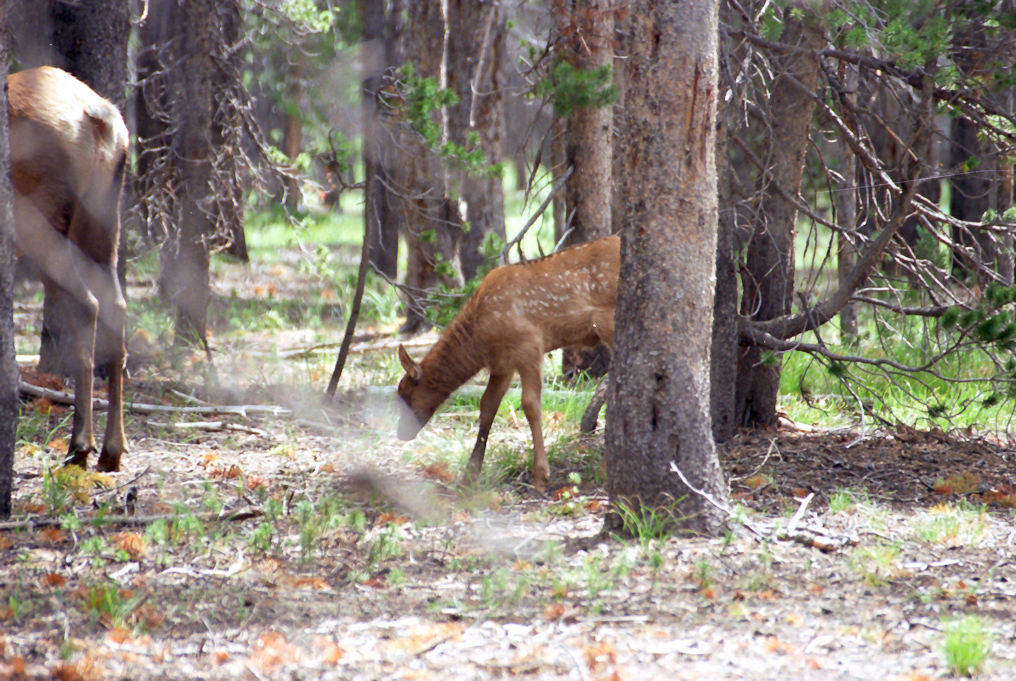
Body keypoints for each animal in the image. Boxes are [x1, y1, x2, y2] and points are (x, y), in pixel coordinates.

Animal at [9, 66, 130, 472]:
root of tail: (100, 118)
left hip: (39, 221)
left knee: (87, 304)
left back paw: (80, 445)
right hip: (104, 223)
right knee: (116, 306)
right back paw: (111, 450)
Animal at [396, 235, 619, 492]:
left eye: (406, 394)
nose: (400, 432)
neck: (480, 342)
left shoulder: (529, 346)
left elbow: (530, 405)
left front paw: (540, 476)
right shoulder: (503, 363)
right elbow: (487, 406)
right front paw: (469, 476)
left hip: (608, 323)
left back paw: (604, 470)